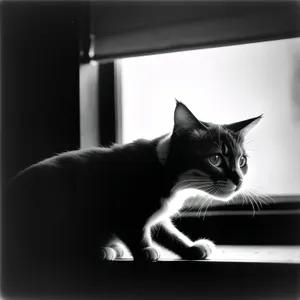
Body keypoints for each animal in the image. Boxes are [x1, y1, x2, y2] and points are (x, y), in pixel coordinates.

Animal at [3, 102, 262, 268]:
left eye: (242, 161)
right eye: (215, 159)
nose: (239, 180)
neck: (168, 175)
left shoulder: (158, 212)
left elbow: (164, 230)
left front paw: (189, 247)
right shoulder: (122, 202)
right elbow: (132, 227)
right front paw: (144, 250)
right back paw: (100, 250)